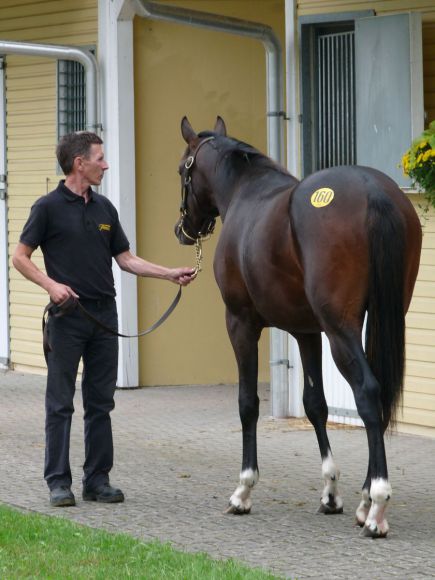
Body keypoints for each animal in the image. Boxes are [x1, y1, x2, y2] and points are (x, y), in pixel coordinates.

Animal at [174, 115, 422, 536]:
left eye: (181, 170)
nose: (183, 230)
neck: (245, 193)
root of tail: (374, 191)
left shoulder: (240, 323)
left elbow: (248, 403)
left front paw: (243, 491)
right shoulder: (306, 332)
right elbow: (314, 404)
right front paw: (331, 493)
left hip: (341, 330)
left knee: (368, 393)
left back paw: (377, 505)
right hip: (379, 318)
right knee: (378, 397)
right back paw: (364, 500)